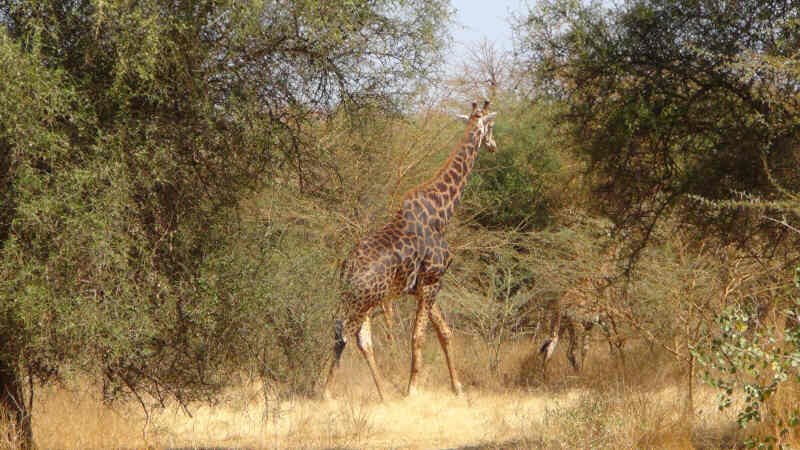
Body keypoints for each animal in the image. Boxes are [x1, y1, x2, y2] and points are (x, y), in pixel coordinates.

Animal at [322, 100, 496, 400]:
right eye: (492, 126)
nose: (494, 145)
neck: (442, 213)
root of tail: (347, 269)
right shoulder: (431, 282)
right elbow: (419, 337)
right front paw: (412, 389)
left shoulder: (425, 287)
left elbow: (444, 333)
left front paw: (457, 387)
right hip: (362, 302)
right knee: (343, 335)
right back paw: (326, 393)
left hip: (363, 302)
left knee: (362, 340)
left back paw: (382, 395)